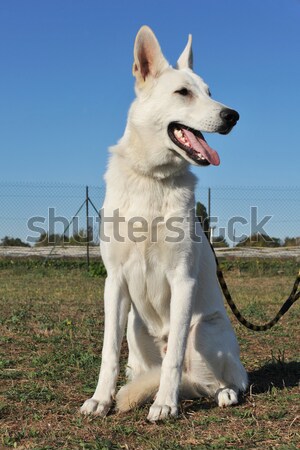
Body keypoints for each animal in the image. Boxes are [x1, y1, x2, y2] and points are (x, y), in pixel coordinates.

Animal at [81, 25, 247, 422]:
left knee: (214, 380)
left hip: (204, 329)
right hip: (135, 328)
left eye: (210, 93)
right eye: (183, 92)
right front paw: (100, 399)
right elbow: (108, 353)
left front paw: (165, 404)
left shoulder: (182, 279)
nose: (232, 115)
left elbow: (173, 361)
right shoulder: (114, 281)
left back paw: (224, 393)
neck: (152, 179)